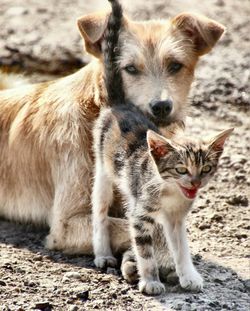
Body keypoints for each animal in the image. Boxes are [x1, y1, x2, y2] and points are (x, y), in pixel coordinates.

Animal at [91, 0, 232, 294]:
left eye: (206, 169)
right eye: (180, 169)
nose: (194, 182)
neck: (170, 192)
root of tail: (119, 104)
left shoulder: (176, 219)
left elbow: (181, 248)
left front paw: (189, 276)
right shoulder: (140, 214)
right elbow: (145, 251)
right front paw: (151, 281)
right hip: (103, 172)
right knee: (98, 211)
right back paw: (102, 253)